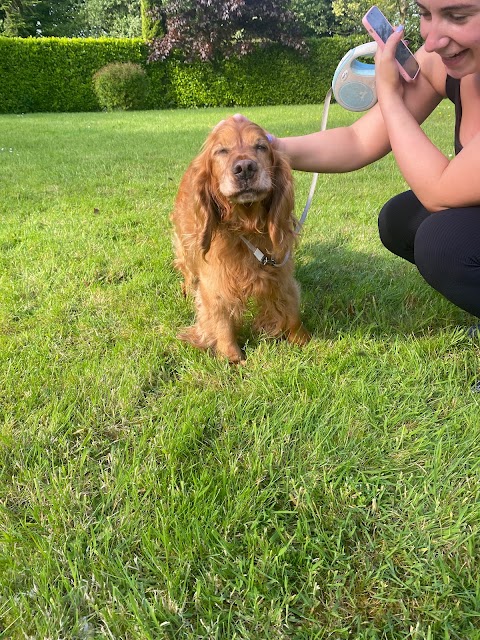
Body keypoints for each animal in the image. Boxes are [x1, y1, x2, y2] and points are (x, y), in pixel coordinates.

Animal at [171, 115, 310, 362]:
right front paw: (232, 359)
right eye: (221, 151)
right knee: (188, 272)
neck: (247, 227)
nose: (245, 168)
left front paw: (304, 340)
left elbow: (291, 307)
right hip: (185, 248)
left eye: (261, 146)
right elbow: (222, 322)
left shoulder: (280, 271)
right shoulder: (215, 283)